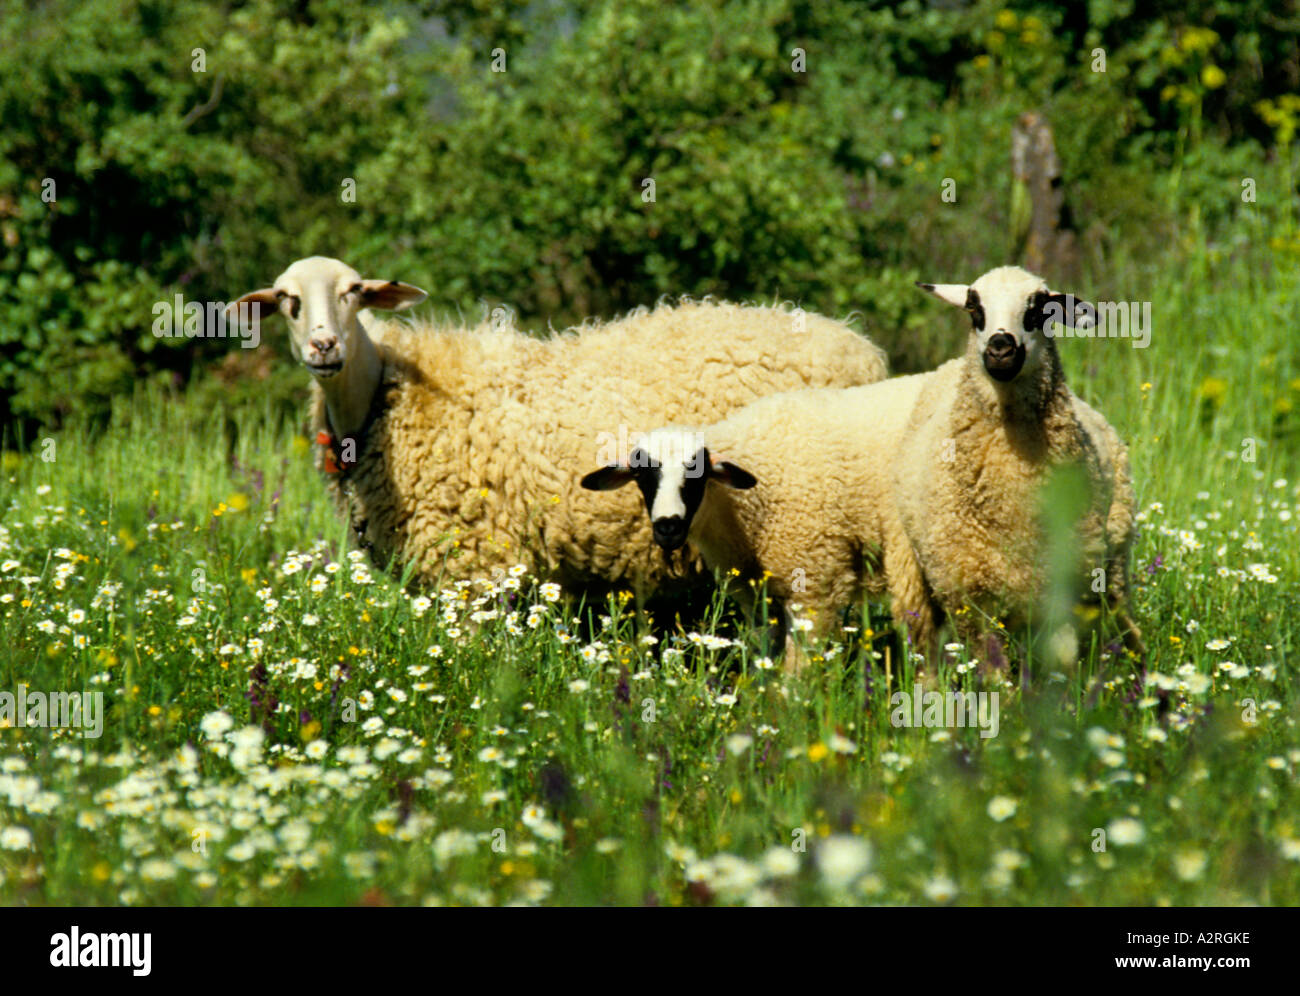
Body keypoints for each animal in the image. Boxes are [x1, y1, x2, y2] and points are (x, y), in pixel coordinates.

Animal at [228, 254, 889, 608]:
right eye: (287, 300)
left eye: (355, 293)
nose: (324, 347)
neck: (385, 402)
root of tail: (860, 349)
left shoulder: (477, 568)